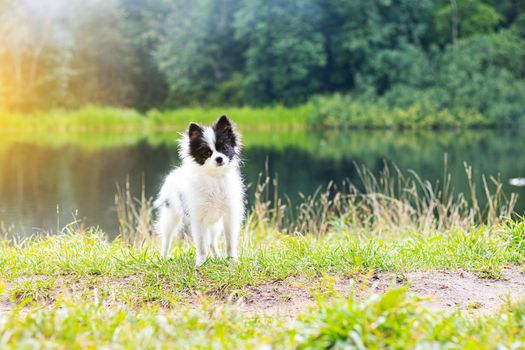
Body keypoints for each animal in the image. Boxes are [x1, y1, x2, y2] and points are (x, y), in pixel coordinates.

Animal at [155, 115, 245, 266]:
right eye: (207, 153)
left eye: (224, 148)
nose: (219, 158)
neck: (214, 177)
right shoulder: (198, 219)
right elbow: (202, 245)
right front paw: (201, 263)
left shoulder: (229, 215)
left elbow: (230, 242)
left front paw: (232, 260)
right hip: (170, 217)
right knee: (166, 240)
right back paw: (163, 258)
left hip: (215, 224)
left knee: (213, 243)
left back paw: (217, 257)